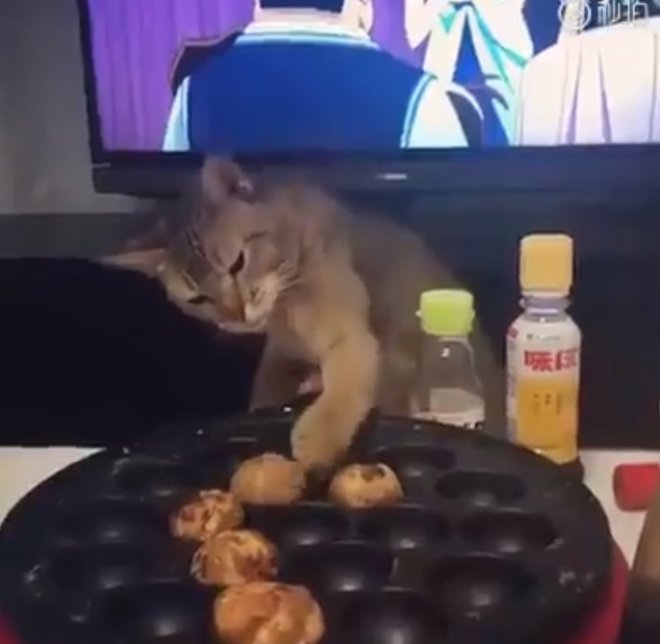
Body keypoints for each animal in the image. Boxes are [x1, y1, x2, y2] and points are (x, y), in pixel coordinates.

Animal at [103, 158, 504, 471]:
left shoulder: (350, 337)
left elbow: (344, 387)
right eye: (198, 298)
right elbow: (262, 395)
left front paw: (319, 437)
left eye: (237, 263)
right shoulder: (280, 354)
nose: (237, 313)